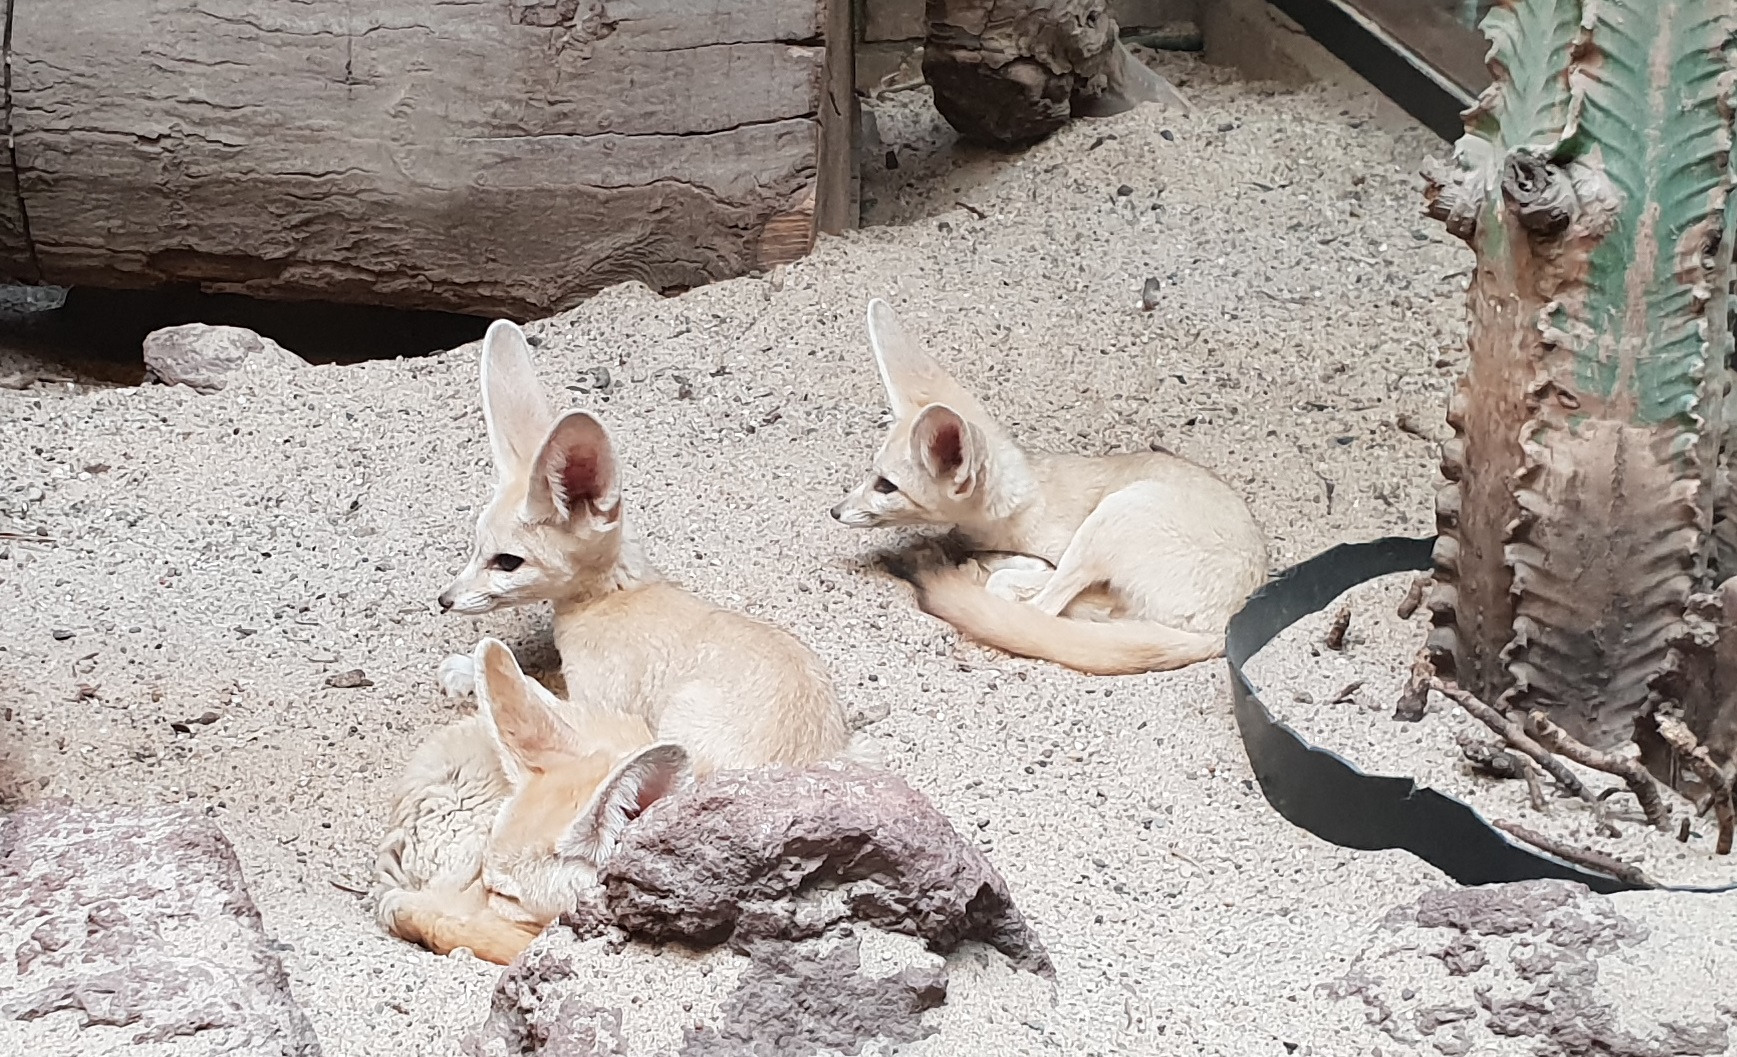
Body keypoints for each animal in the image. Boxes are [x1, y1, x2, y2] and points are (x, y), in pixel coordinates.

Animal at [434, 319, 863, 773]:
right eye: (475, 545)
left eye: (507, 562)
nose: (445, 600)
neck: (614, 594)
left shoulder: (604, 701)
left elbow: (533, 689)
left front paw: (466, 669)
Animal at [830, 299, 1269, 676]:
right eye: (872, 474)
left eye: (886, 486)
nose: (834, 511)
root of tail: (1223, 627)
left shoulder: (1066, 549)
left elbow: (1036, 593)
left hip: (1113, 517)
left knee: (1047, 608)